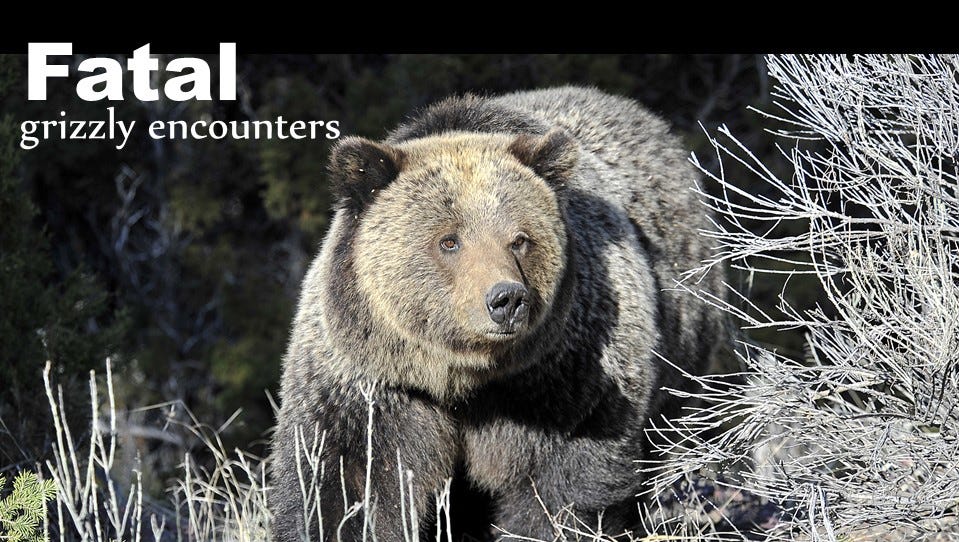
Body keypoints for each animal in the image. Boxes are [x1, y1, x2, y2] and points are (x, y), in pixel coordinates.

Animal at [269, 86, 725, 541]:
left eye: (520, 239)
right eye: (449, 240)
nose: (506, 299)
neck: (462, 378)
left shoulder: (564, 378)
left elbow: (562, 486)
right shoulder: (372, 384)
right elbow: (344, 484)